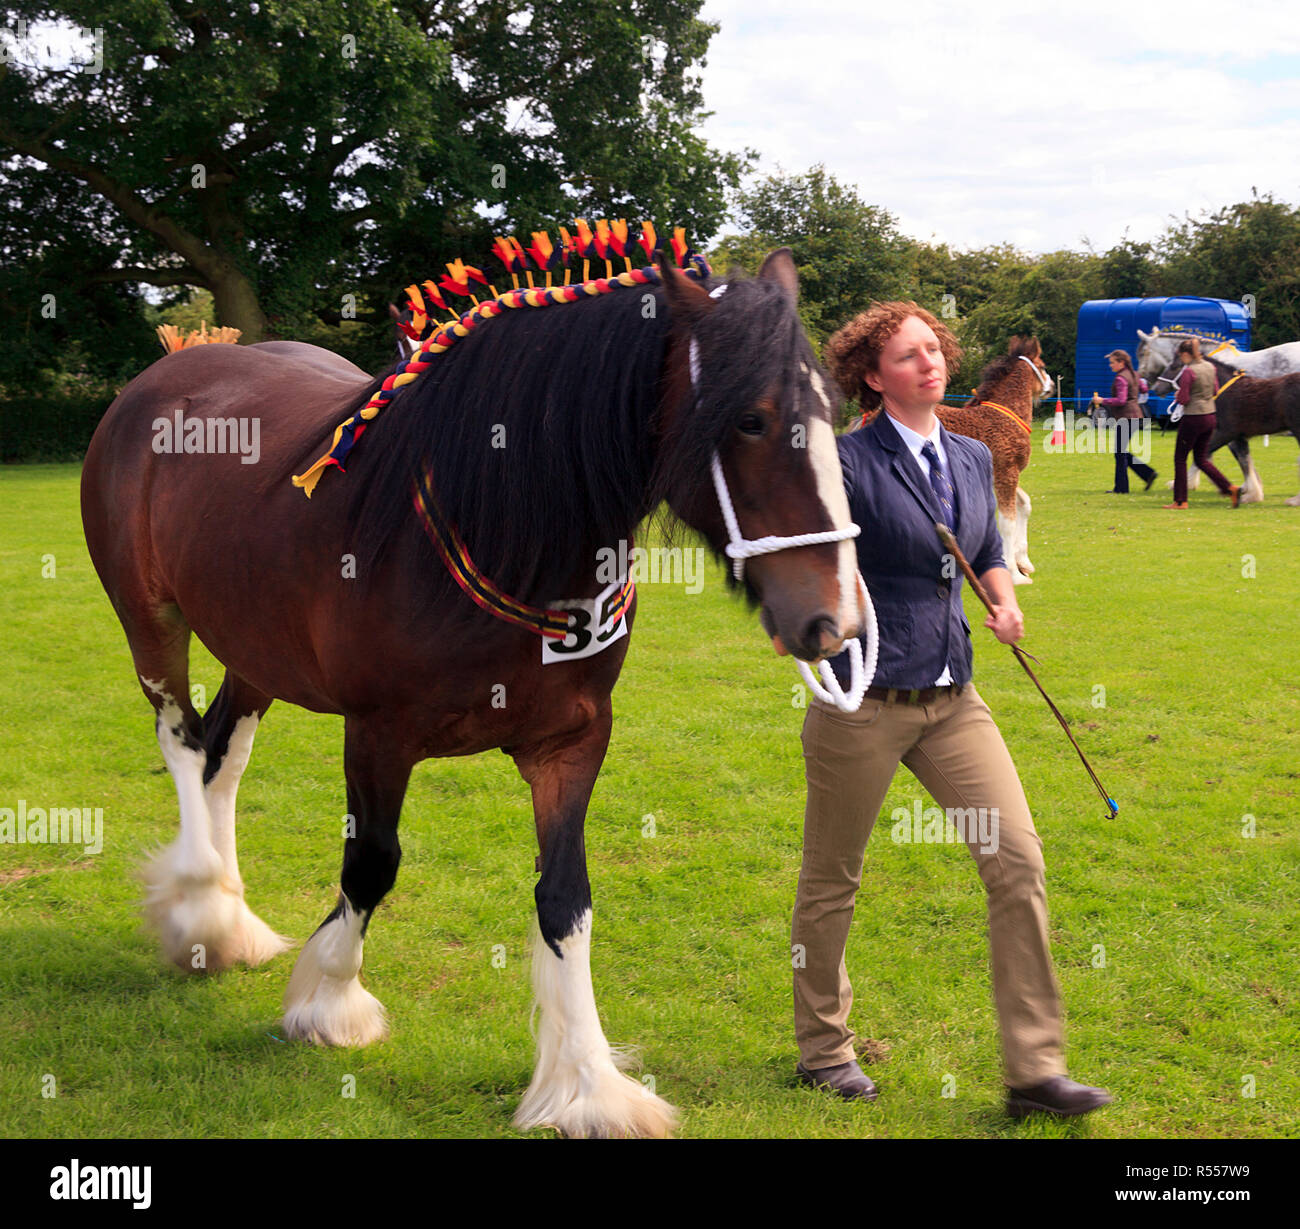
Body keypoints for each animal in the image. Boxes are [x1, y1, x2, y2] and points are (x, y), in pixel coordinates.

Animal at [79, 247, 867, 1139]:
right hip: (152, 621)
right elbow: (371, 865)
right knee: (182, 742)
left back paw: (229, 923)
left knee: (223, 756)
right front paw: (330, 1002)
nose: (835, 619)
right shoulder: (378, 734)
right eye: (753, 420)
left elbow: (565, 896)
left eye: (834, 413)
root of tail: (170, 373)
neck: (498, 524)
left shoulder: (572, 741)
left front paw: (585, 1081)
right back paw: (200, 910)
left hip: (254, 646)